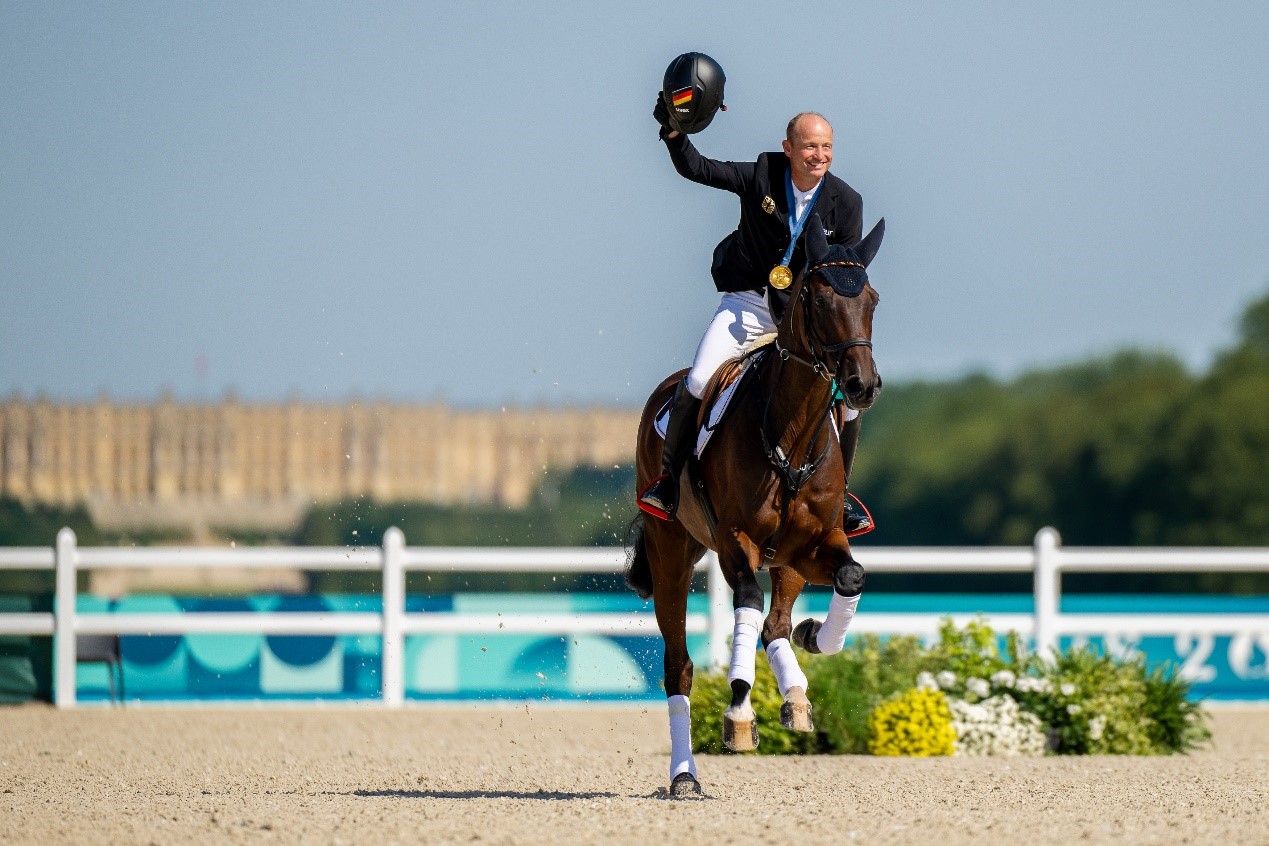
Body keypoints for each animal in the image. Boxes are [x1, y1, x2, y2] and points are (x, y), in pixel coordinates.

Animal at [624, 215, 883, 796]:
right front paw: (740, 712)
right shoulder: (733, 540)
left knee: (775, 625)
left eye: (872, 300)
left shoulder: (815, 542)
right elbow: (745, 598)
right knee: (680, 666)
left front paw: (816, 639)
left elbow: (848, 578)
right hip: (671, 552)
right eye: (820, 299)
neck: (792, 434)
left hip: (785, 558)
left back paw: (797, 694)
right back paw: (684, 776)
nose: (861, 385)